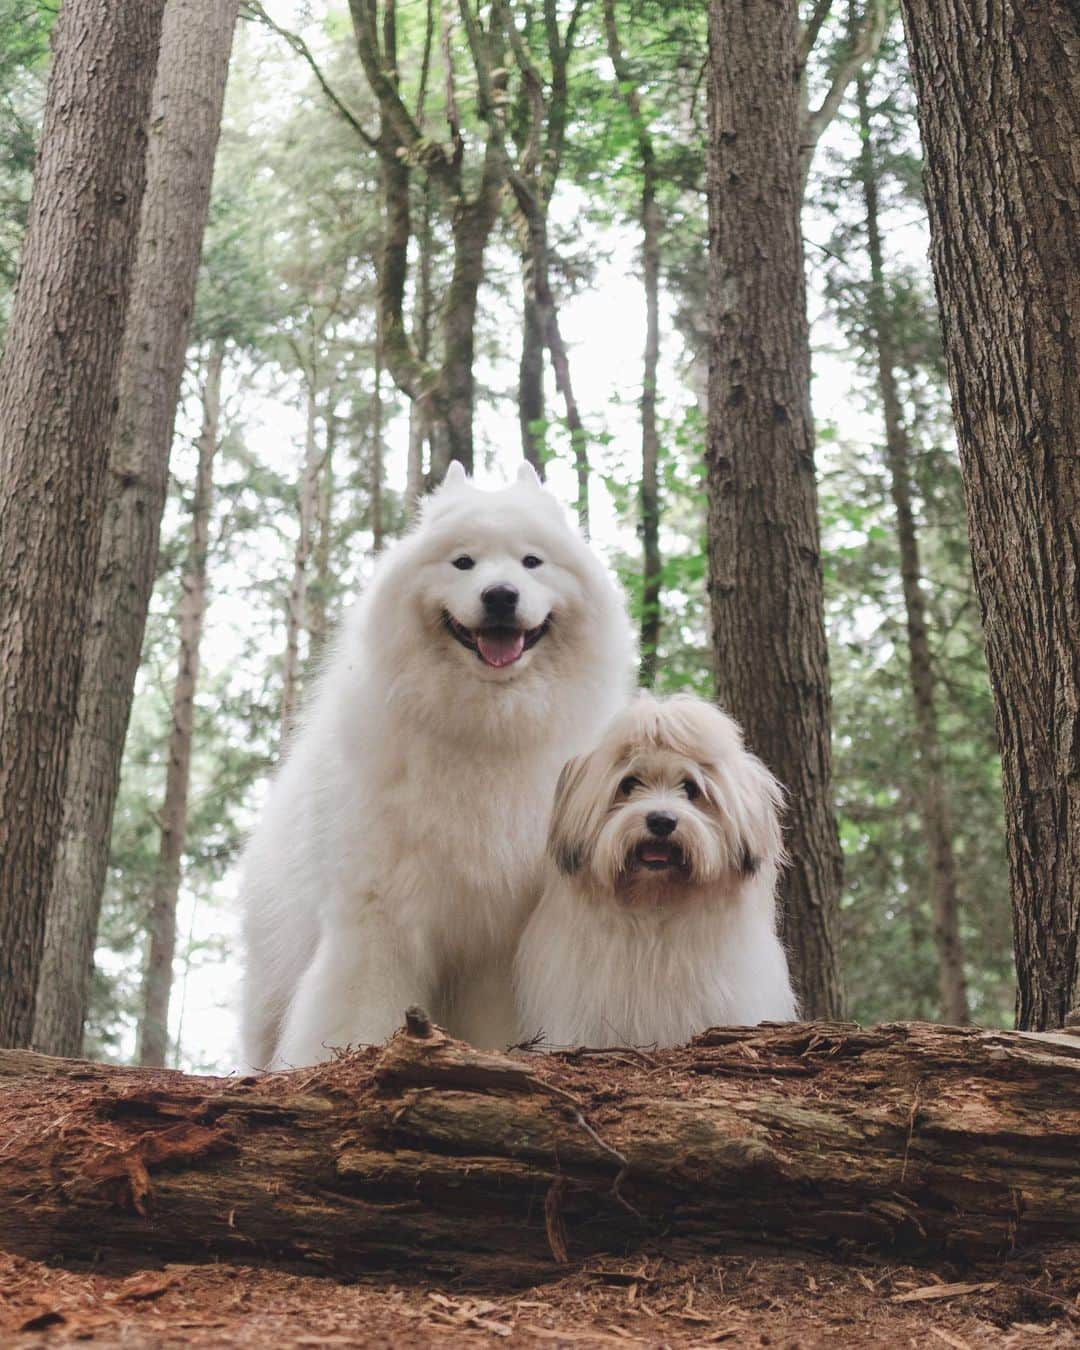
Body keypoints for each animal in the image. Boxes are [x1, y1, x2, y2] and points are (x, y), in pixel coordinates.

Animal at [240, 464, 631, 1063]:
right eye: (463, 562)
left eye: (531, 562)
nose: (500, 595)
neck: (485, 729)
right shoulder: (377, 919)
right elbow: (357, 1009)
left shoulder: (498, 941)